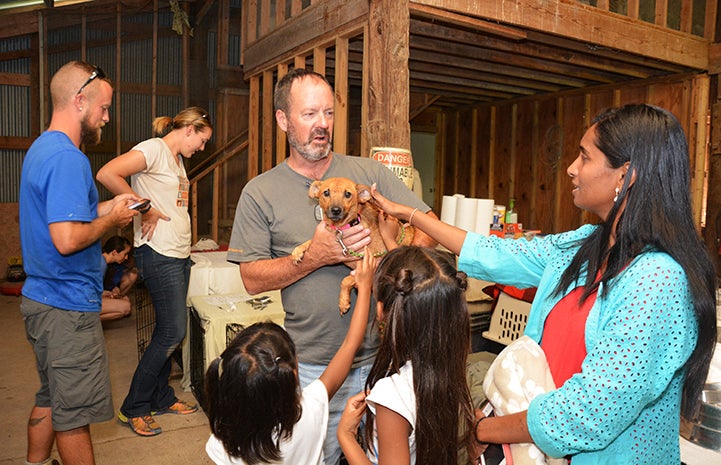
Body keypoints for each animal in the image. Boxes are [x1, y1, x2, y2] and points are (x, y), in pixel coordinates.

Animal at [292, 176, 414, 314]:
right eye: (326, 193)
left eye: (347, 194)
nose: (335, 210)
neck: (341, 228)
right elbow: (311, 241)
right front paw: (297, 252)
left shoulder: (373, 265)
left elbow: (345, 280)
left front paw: (343, 301)